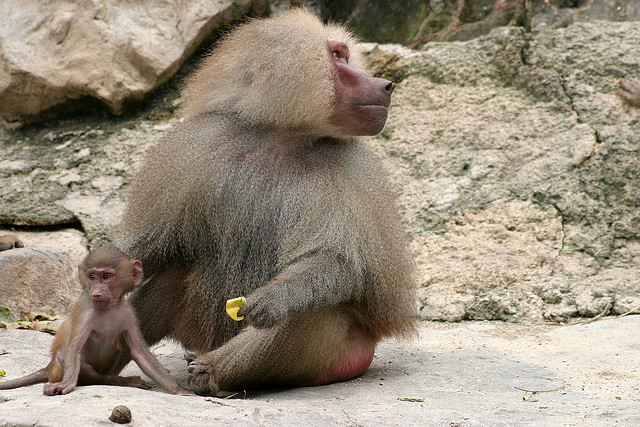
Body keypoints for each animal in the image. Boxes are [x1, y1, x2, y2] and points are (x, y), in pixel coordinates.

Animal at [0, 244, 194, 396]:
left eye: (106, 276)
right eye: (92, 277)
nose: (97, 292)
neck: (108, 308)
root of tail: (48, 366)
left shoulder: (128, 313)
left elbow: (139, 351)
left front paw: (181, 390)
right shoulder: (85, 313)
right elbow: (74, 349)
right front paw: (66, 384)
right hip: (59, 370)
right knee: (71, 358)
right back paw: (118, 381)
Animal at [117, 8, 417, 396]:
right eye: (338, 56)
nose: (385, 85)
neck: (282, 137)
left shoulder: (352, 170)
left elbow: (338, 262)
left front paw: (271, 299)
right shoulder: (192, 146)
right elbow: (155, 244)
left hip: (337, 356)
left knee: (310, 305)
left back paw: (211, 371)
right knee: (172, 274)